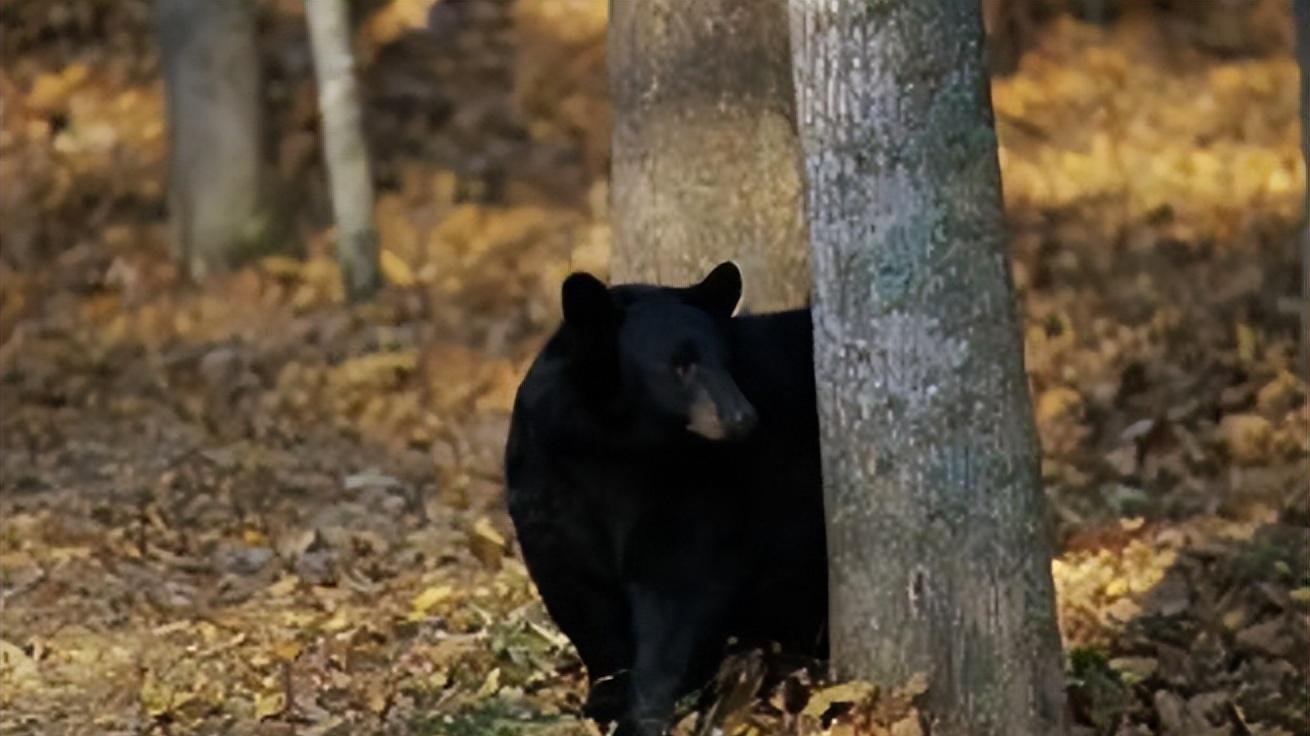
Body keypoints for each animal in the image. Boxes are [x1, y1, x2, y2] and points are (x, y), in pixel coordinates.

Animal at [503, 260, 822, 728]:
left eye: (725, 361)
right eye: (679, 366)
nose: (742, 418)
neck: (616, 449)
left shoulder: (696, 493)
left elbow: (679, 596)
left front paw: (643, 714)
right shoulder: (545, 480)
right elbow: (578, 595)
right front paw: (604, 698)